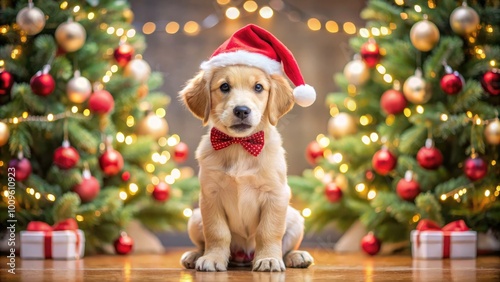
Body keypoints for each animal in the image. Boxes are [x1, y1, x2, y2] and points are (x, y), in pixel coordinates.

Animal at [179, 65, 312, 272]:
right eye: (224, 86)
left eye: (258, 87)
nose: (241, 110)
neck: (239, 145)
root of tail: (243, 257)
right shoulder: (210, 195)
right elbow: (216, 232)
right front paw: (213, 258)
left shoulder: (275, 194)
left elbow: (269, 231)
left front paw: (268, 259)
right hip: (195, 218)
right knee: (203, 244)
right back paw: (196, 255)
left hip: (295, 218)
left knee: (285, 248)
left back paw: (296, 256)